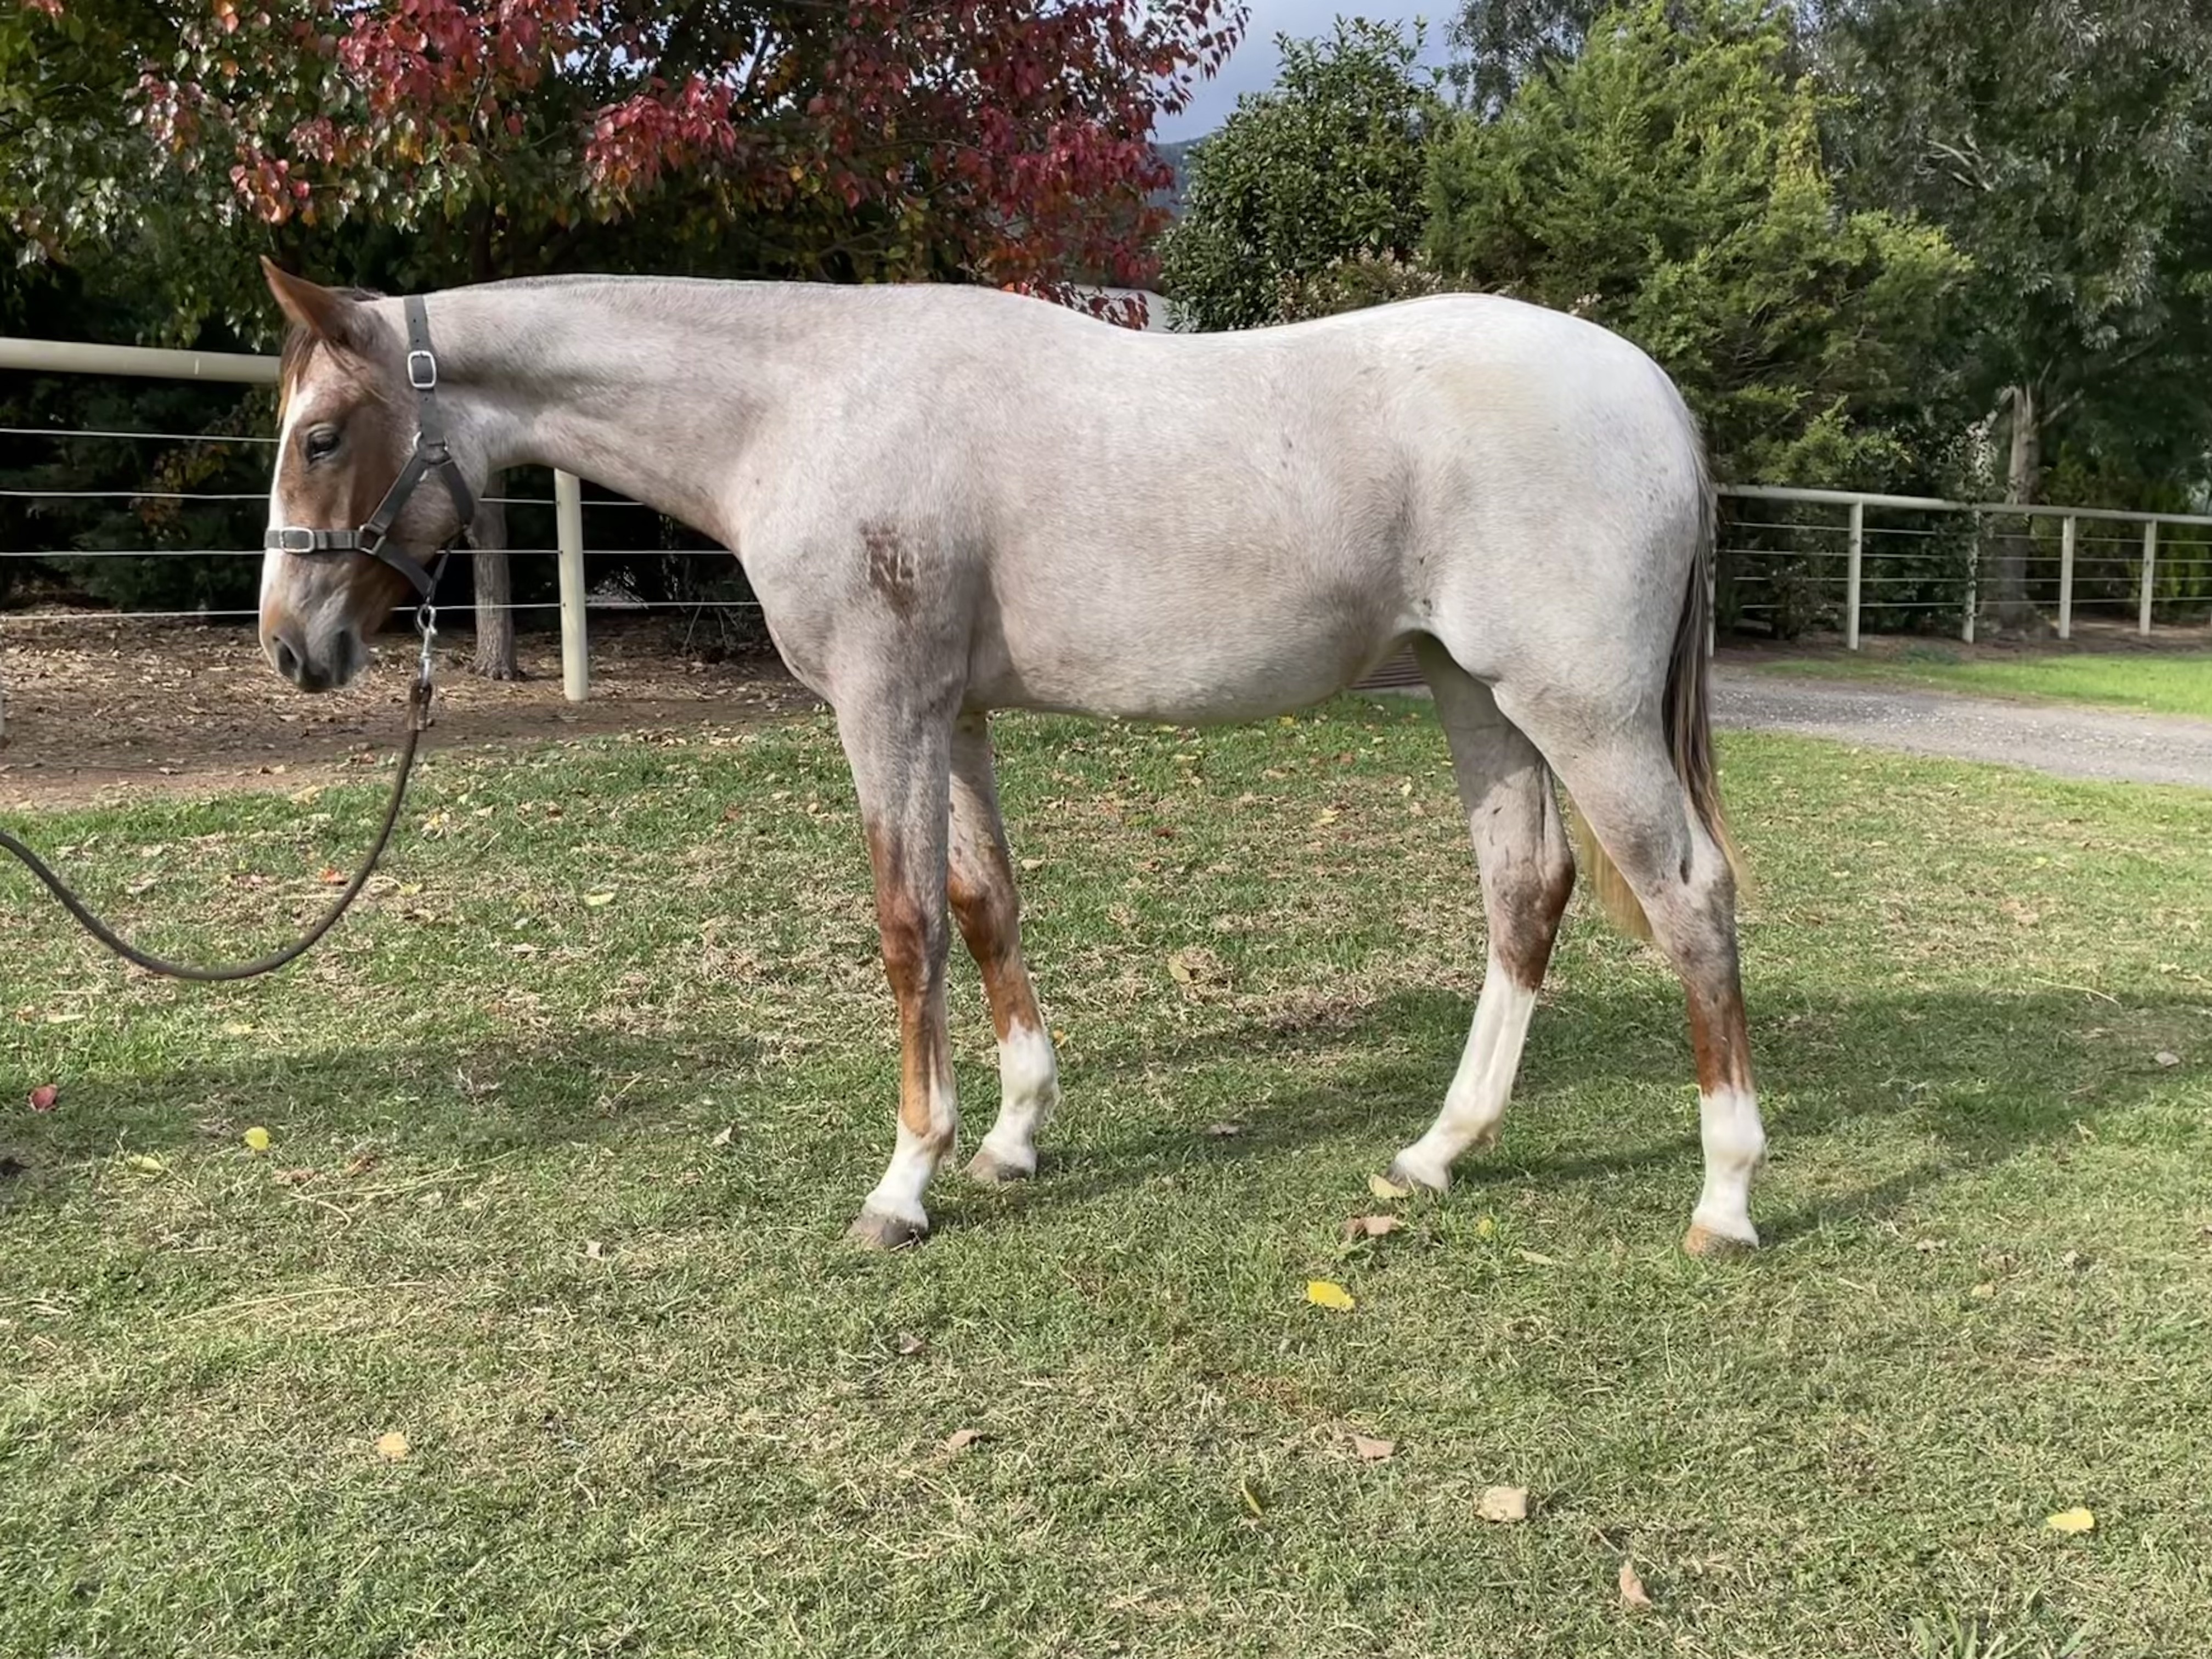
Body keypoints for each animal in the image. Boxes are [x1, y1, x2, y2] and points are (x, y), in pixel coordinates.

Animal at [254, 259, 1767, 1256]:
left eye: (322, 435)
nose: (289, 647)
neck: (800, 401)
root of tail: (1654, 397)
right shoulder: (956, 715)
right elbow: (986, 906)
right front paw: (1010, 1137)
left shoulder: (884, 709)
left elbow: (908, 923)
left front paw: (903, 1184)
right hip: (1479, 698)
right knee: (1527, 891)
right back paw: (1439, 1153)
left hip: (1578, 711)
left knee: (1690, 897)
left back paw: (1726, 1196)